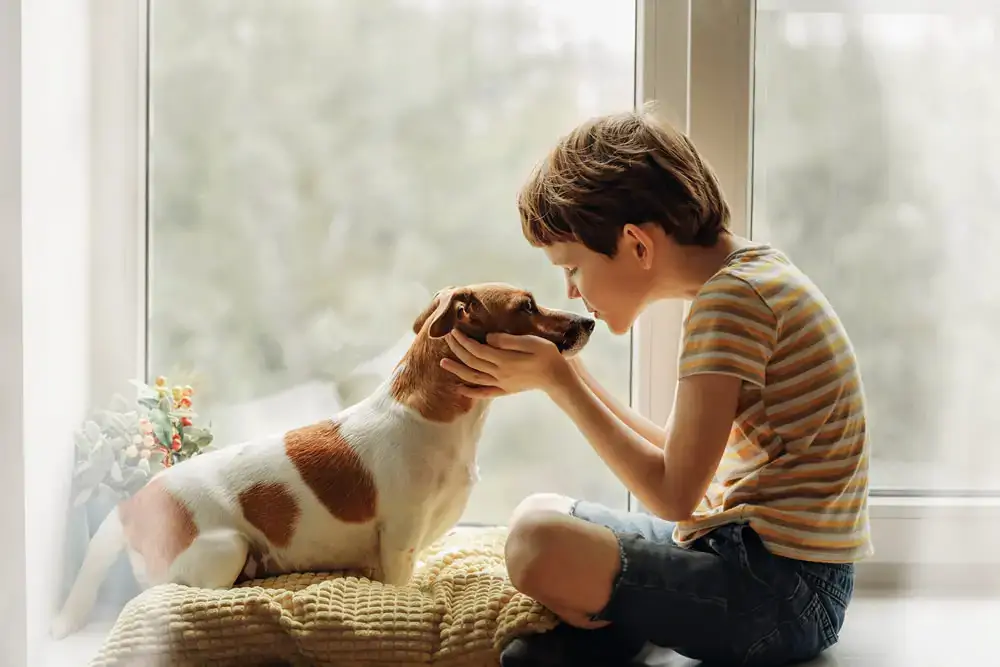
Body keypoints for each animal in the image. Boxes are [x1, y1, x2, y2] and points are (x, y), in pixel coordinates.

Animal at [50, 282, 588, 636]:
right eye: (527, 306)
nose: (588, 320)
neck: (436, 418)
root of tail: (133, 506)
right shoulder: (400, 543)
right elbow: (403, 582)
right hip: (225, 549)